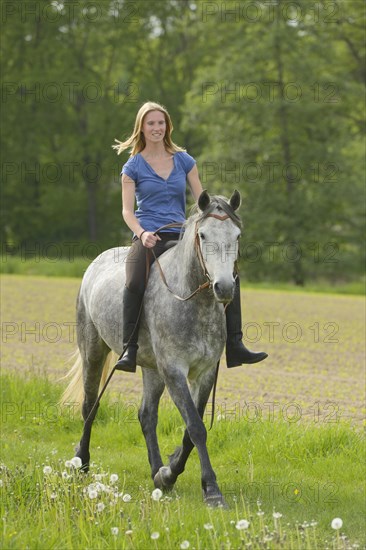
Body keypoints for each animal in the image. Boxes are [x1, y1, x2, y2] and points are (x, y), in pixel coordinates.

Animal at [61, 191, 242, 508]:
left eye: (237, 235)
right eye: (203, 235)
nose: (224, 288)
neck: (192, 299)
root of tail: (96, 262)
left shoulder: (204, 372)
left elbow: (190, 430)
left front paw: (168, 473)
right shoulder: (174, 370)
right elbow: (196, 427)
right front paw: (212, 490)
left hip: (151, 368)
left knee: (147, 415)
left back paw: (157, 470)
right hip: (93, 350)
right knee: (89, 405)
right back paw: (81, 463)